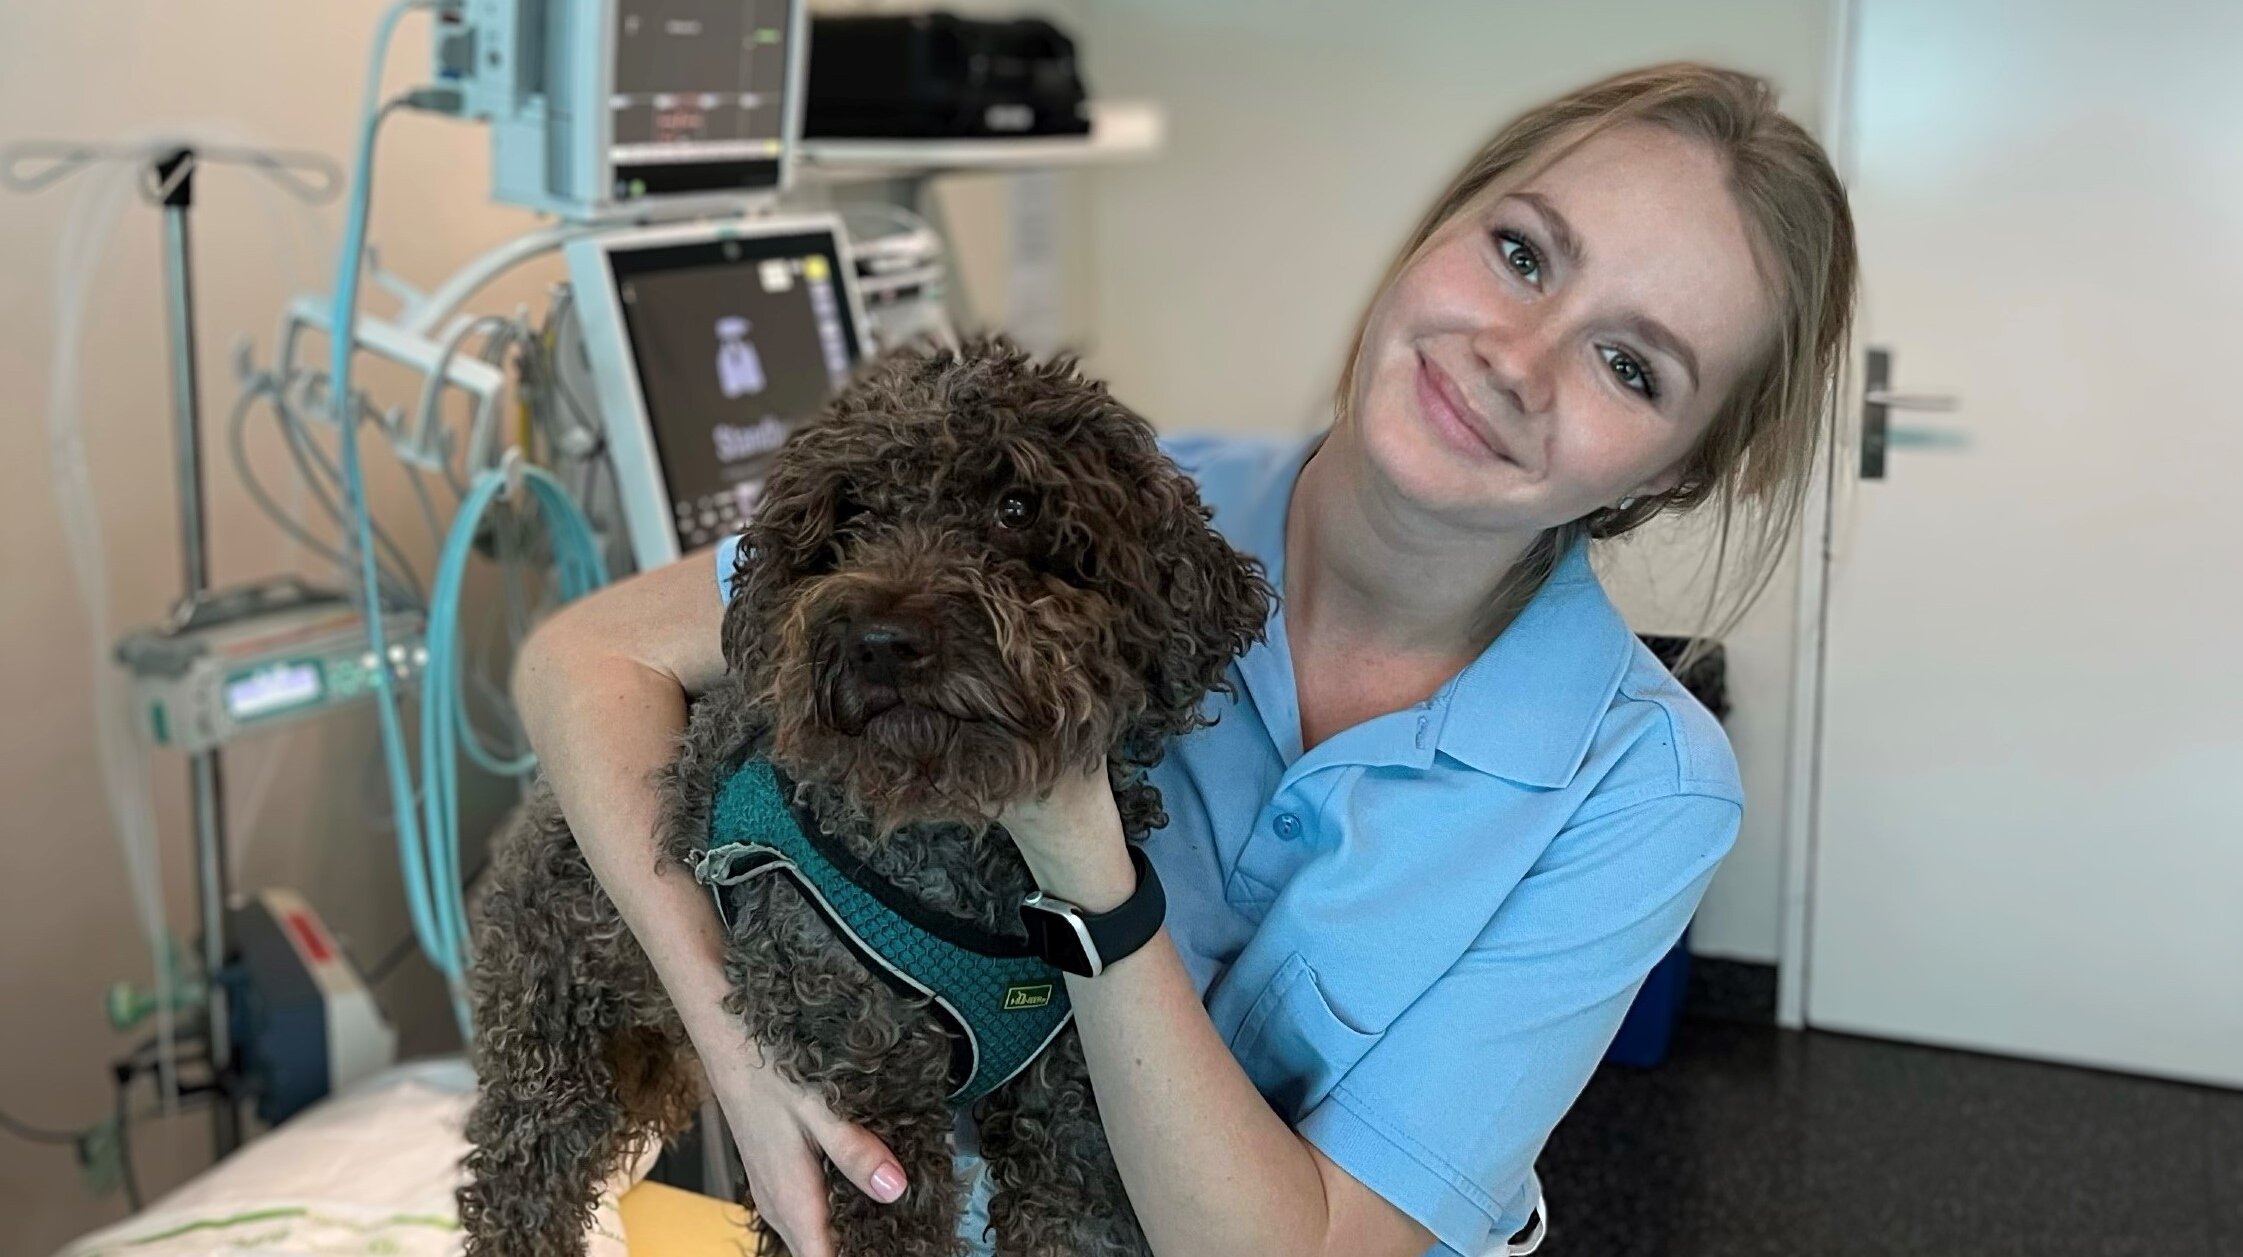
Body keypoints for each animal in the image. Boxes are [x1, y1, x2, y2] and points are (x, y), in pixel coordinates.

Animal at [459, 336, 1265, 1257]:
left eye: (1016, 504)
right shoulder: (859, 1085)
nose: (881, 640)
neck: (958, 852)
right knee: (514, 1189)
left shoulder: (1067, 1103)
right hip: (553, 1051)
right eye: (847, 517)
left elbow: (1079, 1218)